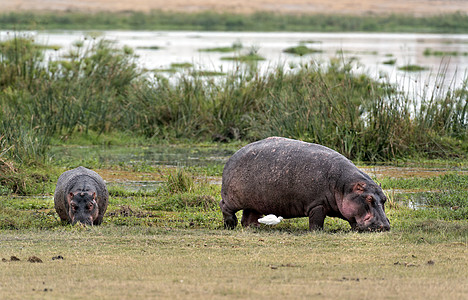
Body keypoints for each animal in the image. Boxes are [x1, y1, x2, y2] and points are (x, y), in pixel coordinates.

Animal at [221, 137, 390, 231]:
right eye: (368, 198)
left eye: (384, 199)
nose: (385, 226)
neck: (343, 186)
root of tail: (233, 155)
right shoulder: (317, 204)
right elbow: (316, 221)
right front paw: (317, 232)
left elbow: (353, 220)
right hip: (232, 198)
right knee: (225, 207)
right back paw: (230, 224)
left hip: (255, 201)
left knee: (248, 216)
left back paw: (254, 227)